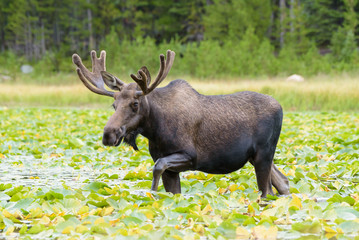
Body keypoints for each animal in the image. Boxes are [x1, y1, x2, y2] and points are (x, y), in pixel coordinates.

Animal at [71, 50, 292, 197]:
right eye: (114, 104)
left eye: (135, 103)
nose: (109, 134)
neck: (156, 130)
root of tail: (281, 107)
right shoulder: (171, 169)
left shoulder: (190, 156)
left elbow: (158, 166)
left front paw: (152, 193)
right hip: (256, 157)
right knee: (283, 182)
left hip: (264, 154)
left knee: (267, 191)